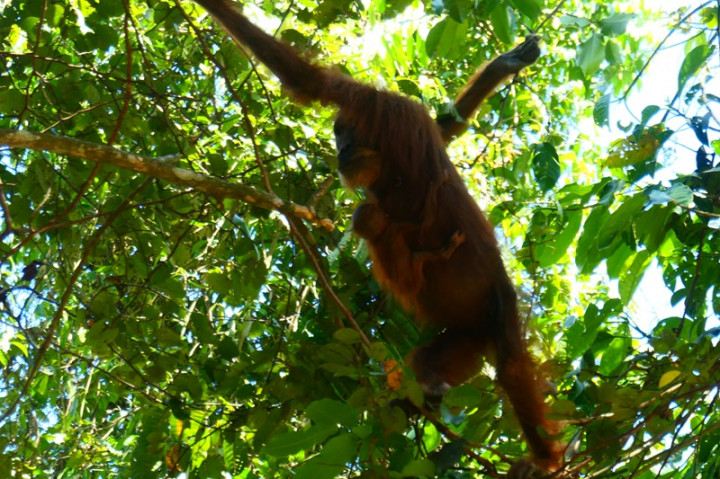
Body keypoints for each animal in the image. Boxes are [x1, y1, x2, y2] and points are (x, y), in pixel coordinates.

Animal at [191, 0, 561, 472]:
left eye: (342, 133)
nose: (338, 152)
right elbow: (445, 129)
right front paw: (504, 65)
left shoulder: (381, 107)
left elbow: (310, 82)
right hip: (466, 336)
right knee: (427, 353)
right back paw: (425, 394)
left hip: (499, 310)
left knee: (512, 367)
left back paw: (544, 457)